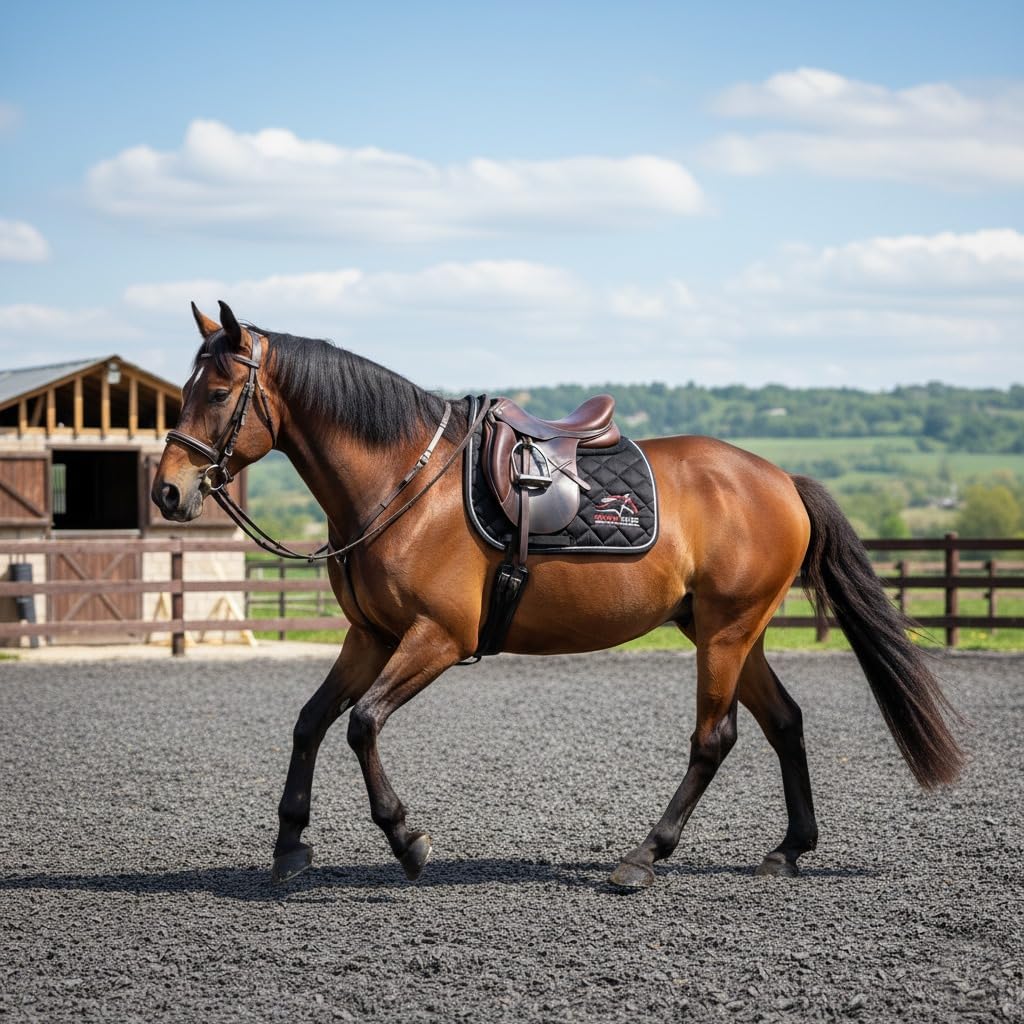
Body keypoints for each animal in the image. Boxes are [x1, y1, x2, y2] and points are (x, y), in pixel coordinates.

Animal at [152, 301, 964, 889]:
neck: (404, 482)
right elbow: (310, 722)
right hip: (728, 630)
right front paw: (290, 844)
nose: (168, 491)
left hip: (727, 633)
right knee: (785, 722)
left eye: (218, 393)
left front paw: (407, 840)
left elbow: (361, 724)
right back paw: (789, 850)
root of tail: (778, 480)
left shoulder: (438, 637)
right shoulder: (370, 636)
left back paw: (642, 858)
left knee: (715, 738)